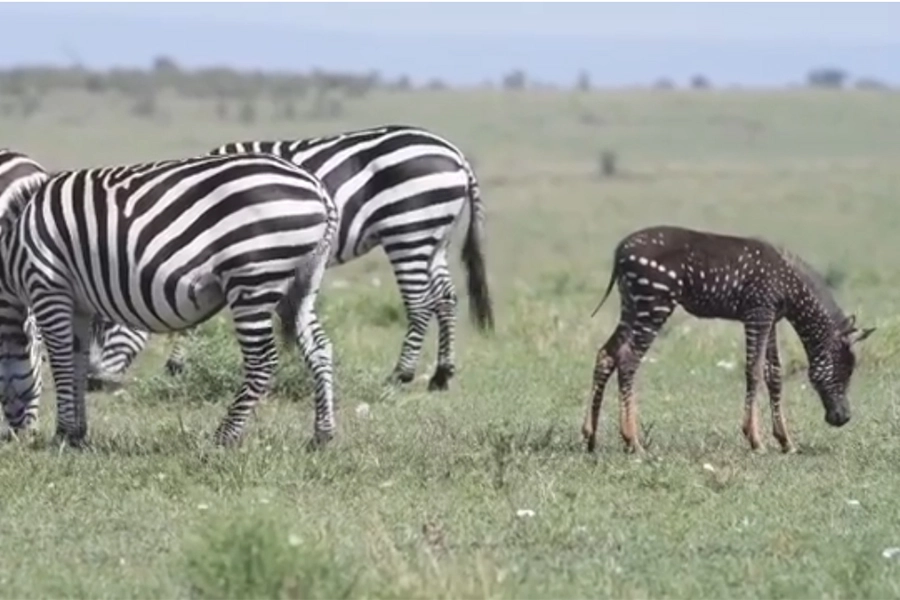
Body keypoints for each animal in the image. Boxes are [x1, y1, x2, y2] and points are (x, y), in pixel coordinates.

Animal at [0, 149, 340, 448]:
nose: (18, 437)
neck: (11, 247)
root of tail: (316, 186)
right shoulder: (78, 304)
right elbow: (78, 362)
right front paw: (77, 435)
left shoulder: (48, 286)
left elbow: (60, 364)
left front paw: (62, 435)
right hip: (299, 282)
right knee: (319, 347)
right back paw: (322, 435)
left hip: (253, 276)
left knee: (262, 360)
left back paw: (224, 437)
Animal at [91, 124, 494, 391]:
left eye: (107, 324)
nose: (94, 382)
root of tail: (456, 155)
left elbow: (194, 320)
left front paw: (175, 366)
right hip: (434, 237)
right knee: (446, 298)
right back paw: (441, 374)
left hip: (408, 230)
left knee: (420, 303)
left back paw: (401, 374)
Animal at [582, 225, 875, 455]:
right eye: (846, 369)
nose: (843, 418)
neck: (790, 284)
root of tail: (620, 251)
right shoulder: (757, 313)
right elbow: (753, 371)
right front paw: (755, 440)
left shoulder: (770, 318)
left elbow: (774, 375)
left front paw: (785, 441)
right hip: (654, 304)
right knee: (628, 359)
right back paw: (633, 441)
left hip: (631, 305)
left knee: (607, 354)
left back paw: (591, 436)